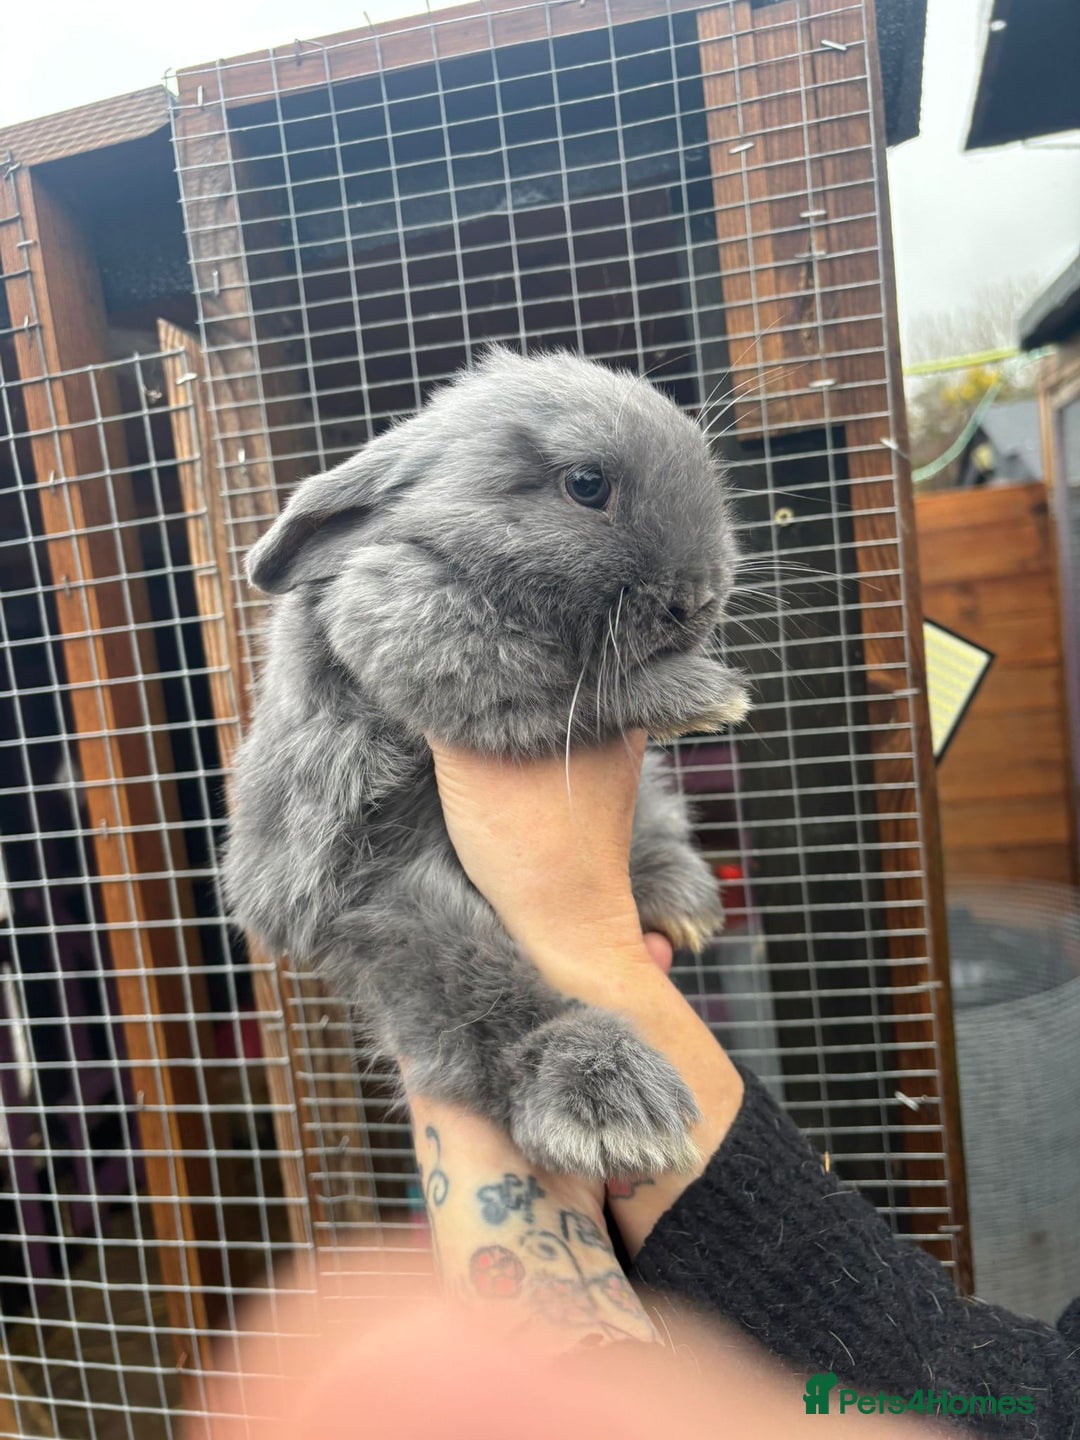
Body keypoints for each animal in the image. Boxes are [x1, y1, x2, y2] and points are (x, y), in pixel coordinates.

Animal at [223, 347, 750, 1179]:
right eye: (587, 484)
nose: (698, 599)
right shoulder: (415, 633)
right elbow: (568, 689)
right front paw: (701, 693)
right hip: (392, 912)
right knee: (485, 1011)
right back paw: (603, 1096)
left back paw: (679, 896)